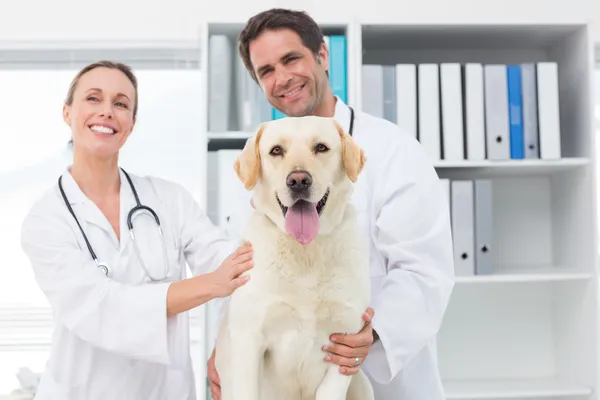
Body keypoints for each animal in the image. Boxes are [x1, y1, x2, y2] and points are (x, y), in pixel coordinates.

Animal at [216, 115, 372, 400]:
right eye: (276, 150)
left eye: (321, 147)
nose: (298, 180)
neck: (305, 251)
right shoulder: (248, 341)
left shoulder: (344, 344)